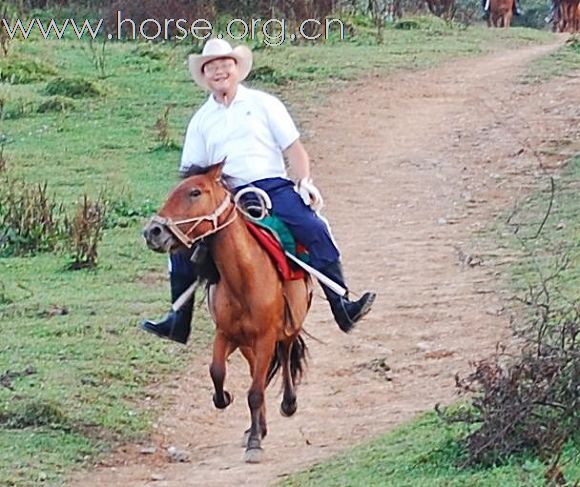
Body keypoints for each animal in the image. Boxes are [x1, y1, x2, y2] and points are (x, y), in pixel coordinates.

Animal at [142, 162, 312, 464]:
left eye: (195, 192)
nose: (153, 231)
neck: (244, 280)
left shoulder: (266, 337)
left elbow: (255, 392)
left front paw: (254, 444)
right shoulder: (226, 335)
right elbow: (218, 372)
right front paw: (226, 400)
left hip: (287, 328)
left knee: (284, 354)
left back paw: (287, 405)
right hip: (247, 345)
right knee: (260, 371)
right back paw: (259, 425)